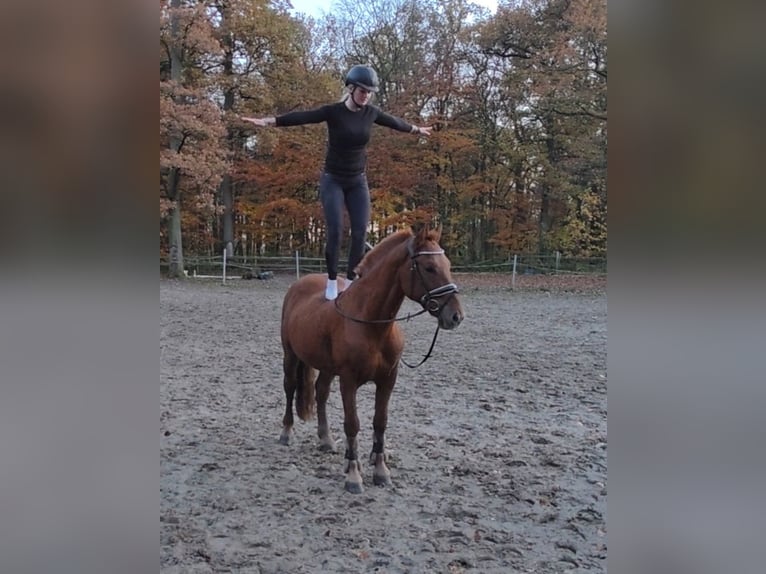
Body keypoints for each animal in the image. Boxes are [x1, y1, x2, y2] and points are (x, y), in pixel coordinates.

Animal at [279, 225, 464, 493]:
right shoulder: (348, 380)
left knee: (321, 392)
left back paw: (326, 439)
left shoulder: (388, 380)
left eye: (448, 264)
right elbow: (352, 423)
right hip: (290, 355)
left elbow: (380, 422)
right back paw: (286, 432)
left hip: (326, 367)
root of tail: (299, 285)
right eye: (429, 267)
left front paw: (380, 470)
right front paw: (353, 475)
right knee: (290, 387)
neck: (372, 324)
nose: (456, 316)